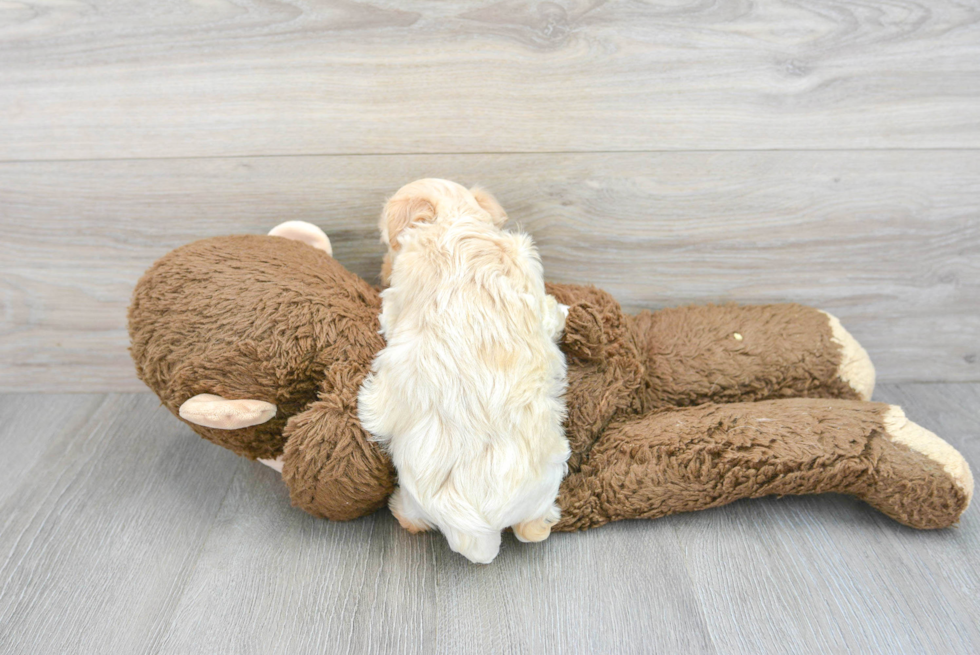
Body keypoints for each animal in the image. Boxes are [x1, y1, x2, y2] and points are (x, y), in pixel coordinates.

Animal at [358, 178, 572, 564]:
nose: (380, 271)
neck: (457, 221)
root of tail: (478, 528)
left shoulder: (398, 298)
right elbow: (549, 312)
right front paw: (562, 311)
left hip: (414, 496)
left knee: (412, 518)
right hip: (547, 482)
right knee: (533, 529)